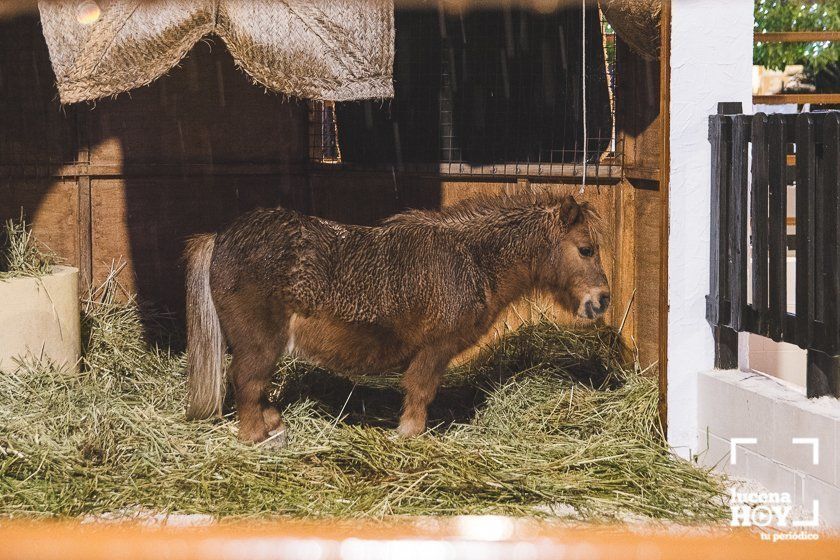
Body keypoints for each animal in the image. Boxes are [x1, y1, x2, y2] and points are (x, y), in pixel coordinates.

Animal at [184, 192, 608, 442]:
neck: (472, 258)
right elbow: (420, 391)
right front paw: (409, 435)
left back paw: (272, 421)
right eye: (586, 249)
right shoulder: (434, 350)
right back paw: (256, 436)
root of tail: (220, 237)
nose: (602, 300)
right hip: (260, 343)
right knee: (246, 381)